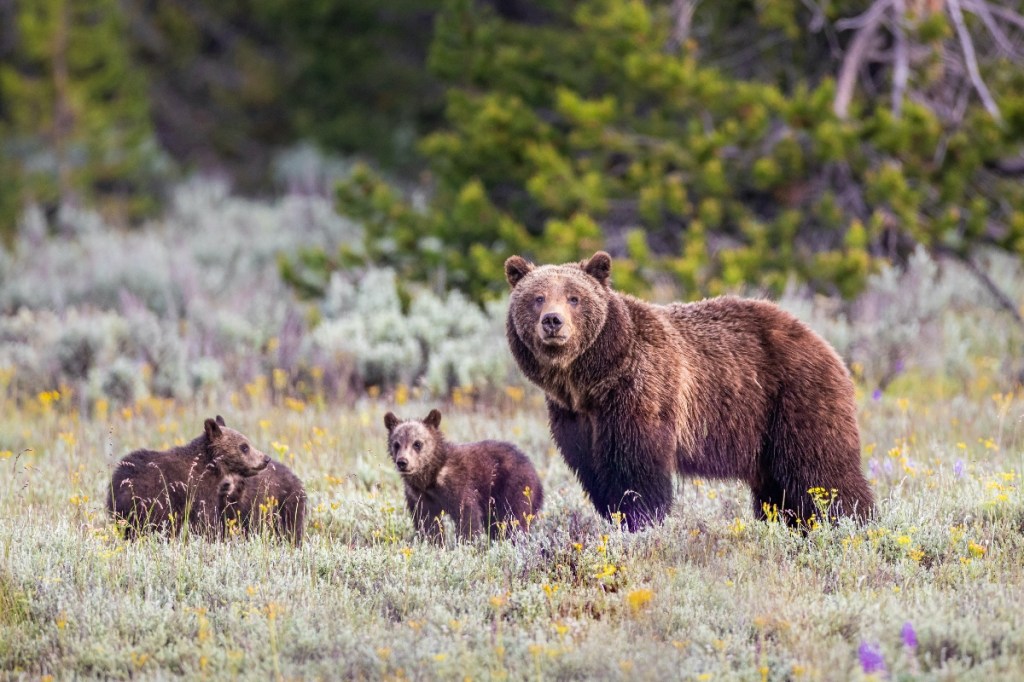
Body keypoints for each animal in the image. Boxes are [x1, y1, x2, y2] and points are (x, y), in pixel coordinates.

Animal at [385, 405, 544, 540]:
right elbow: (427, 522)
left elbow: (467, 515)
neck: (431, 477)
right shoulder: (419, 496)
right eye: (396, 444)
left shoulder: (459, 483)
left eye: (417, 443)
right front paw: (433, 542)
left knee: (514, 518)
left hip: (514, 486)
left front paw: (466, 542)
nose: (403, 462)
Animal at [503, 250, 872, 532]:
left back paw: (853, 522)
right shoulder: (574, 416)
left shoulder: (641, 393)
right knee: (778, 490)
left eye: (574, 298)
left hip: (794, 398)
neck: (590, 380)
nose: (553, 321)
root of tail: (824, 343)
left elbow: (637, 471)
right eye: (537, 298)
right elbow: (594, 472)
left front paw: (641, 521)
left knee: (822, 472)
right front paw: (616, 516)